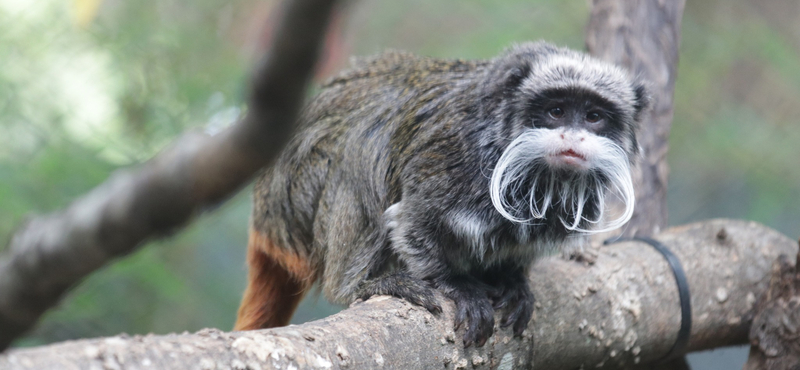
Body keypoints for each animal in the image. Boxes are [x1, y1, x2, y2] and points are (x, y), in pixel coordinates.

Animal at [234, 42, 648, 348]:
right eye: (556, 110)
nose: (573, 137)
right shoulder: (453, 159)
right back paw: (362, 283)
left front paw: (513, 280)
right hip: (296, 198)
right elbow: (411, 224)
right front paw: (458, 285)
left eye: (594, 117)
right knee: (361, 148)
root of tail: (264, 217)